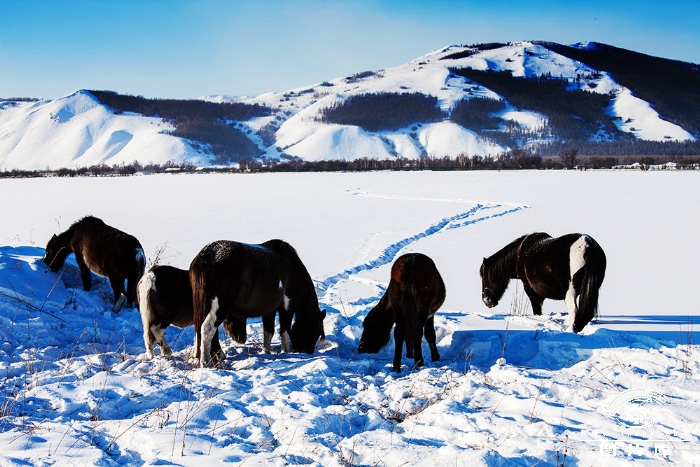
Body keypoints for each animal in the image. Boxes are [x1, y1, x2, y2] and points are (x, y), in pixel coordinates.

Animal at [187, 239, 326, 368]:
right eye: (317, 332)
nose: (306, 351)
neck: (292, 267)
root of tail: (206, 255)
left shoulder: (269, 310)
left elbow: (269, 333)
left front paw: (266, 352)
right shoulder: (287, 308)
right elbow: (284, 333)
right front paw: (285, 352)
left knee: (204, 331)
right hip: (219, 306)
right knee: (207, 329)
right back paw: (205, 362)